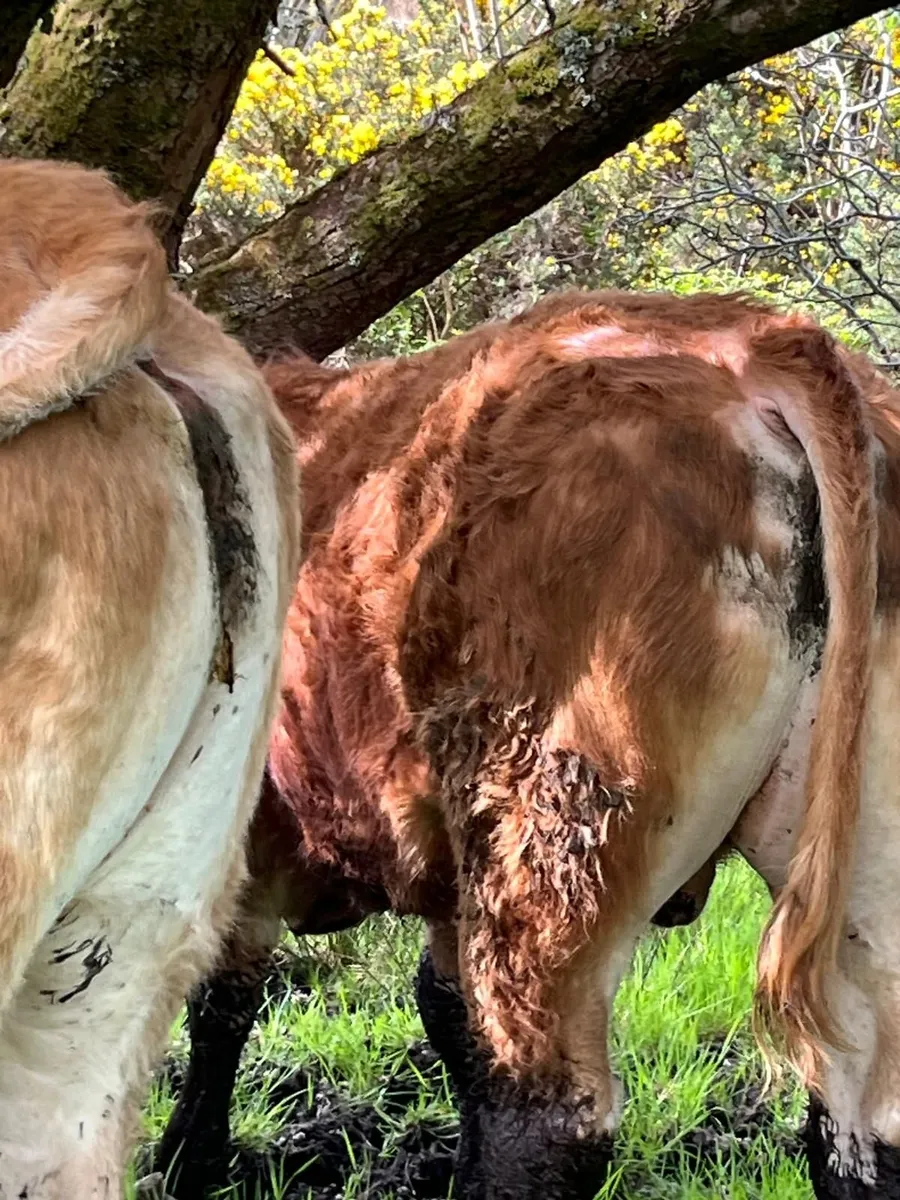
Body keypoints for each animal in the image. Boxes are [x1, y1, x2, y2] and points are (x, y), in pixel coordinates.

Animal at [158, 288, 892, 1199]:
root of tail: (750, 341)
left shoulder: (244, 830)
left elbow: (220, 999)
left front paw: (183, 1163)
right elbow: (444, 1007)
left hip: (550, 828)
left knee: (543, 1117)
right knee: (861, 1126)